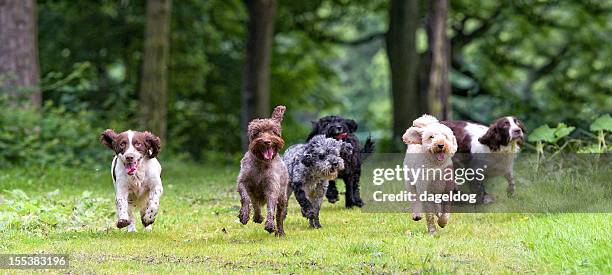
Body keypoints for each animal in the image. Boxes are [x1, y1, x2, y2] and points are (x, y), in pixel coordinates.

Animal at [237, 105, 290, 237]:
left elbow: (271, 206)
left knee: (280, 215)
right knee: (255, 204)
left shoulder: (272, 187)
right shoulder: (243, 182)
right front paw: (244, 215)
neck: (261, 163)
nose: (267, 141)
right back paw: (257, 217)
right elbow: (245, 198)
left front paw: (270, 225)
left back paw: (280, 232)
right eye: (258, 132)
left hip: (283, 197)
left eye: (273, 132)